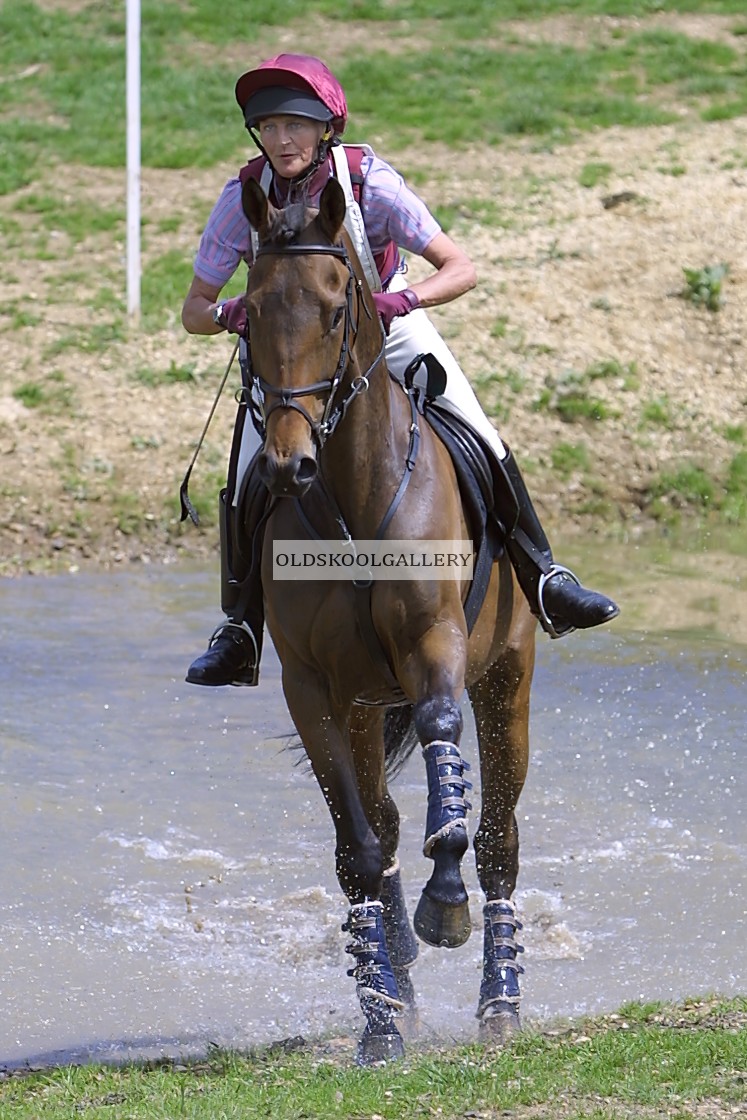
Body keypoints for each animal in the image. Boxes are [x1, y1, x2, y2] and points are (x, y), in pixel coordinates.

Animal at [236, 176, 535, 1066]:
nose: (287, 464)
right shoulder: (312, 688)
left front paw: (444, 902)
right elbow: (360, 849)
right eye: (249, 310)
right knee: (382, 825)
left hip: (507, 679)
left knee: (500, 839)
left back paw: (499, 1001)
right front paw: (380, 1003)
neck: (352, 491)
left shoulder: (434, 642)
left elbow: (443, 751)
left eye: (338, 309)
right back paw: (397, 987)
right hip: (365, 706)